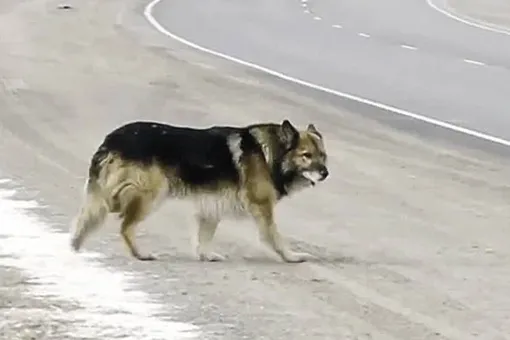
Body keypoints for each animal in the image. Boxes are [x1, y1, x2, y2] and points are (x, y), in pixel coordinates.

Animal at [69, 119, 328, 262]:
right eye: (306, 156)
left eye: (323, 156)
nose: (325, 173)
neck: (270, 153)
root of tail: (111, 139)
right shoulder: (262, 207)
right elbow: (275, 236)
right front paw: (291, 257)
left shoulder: (211, 205)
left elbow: (205, 235)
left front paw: (206, 255)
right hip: (151, 194)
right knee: (125, 226)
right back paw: (140, 254)